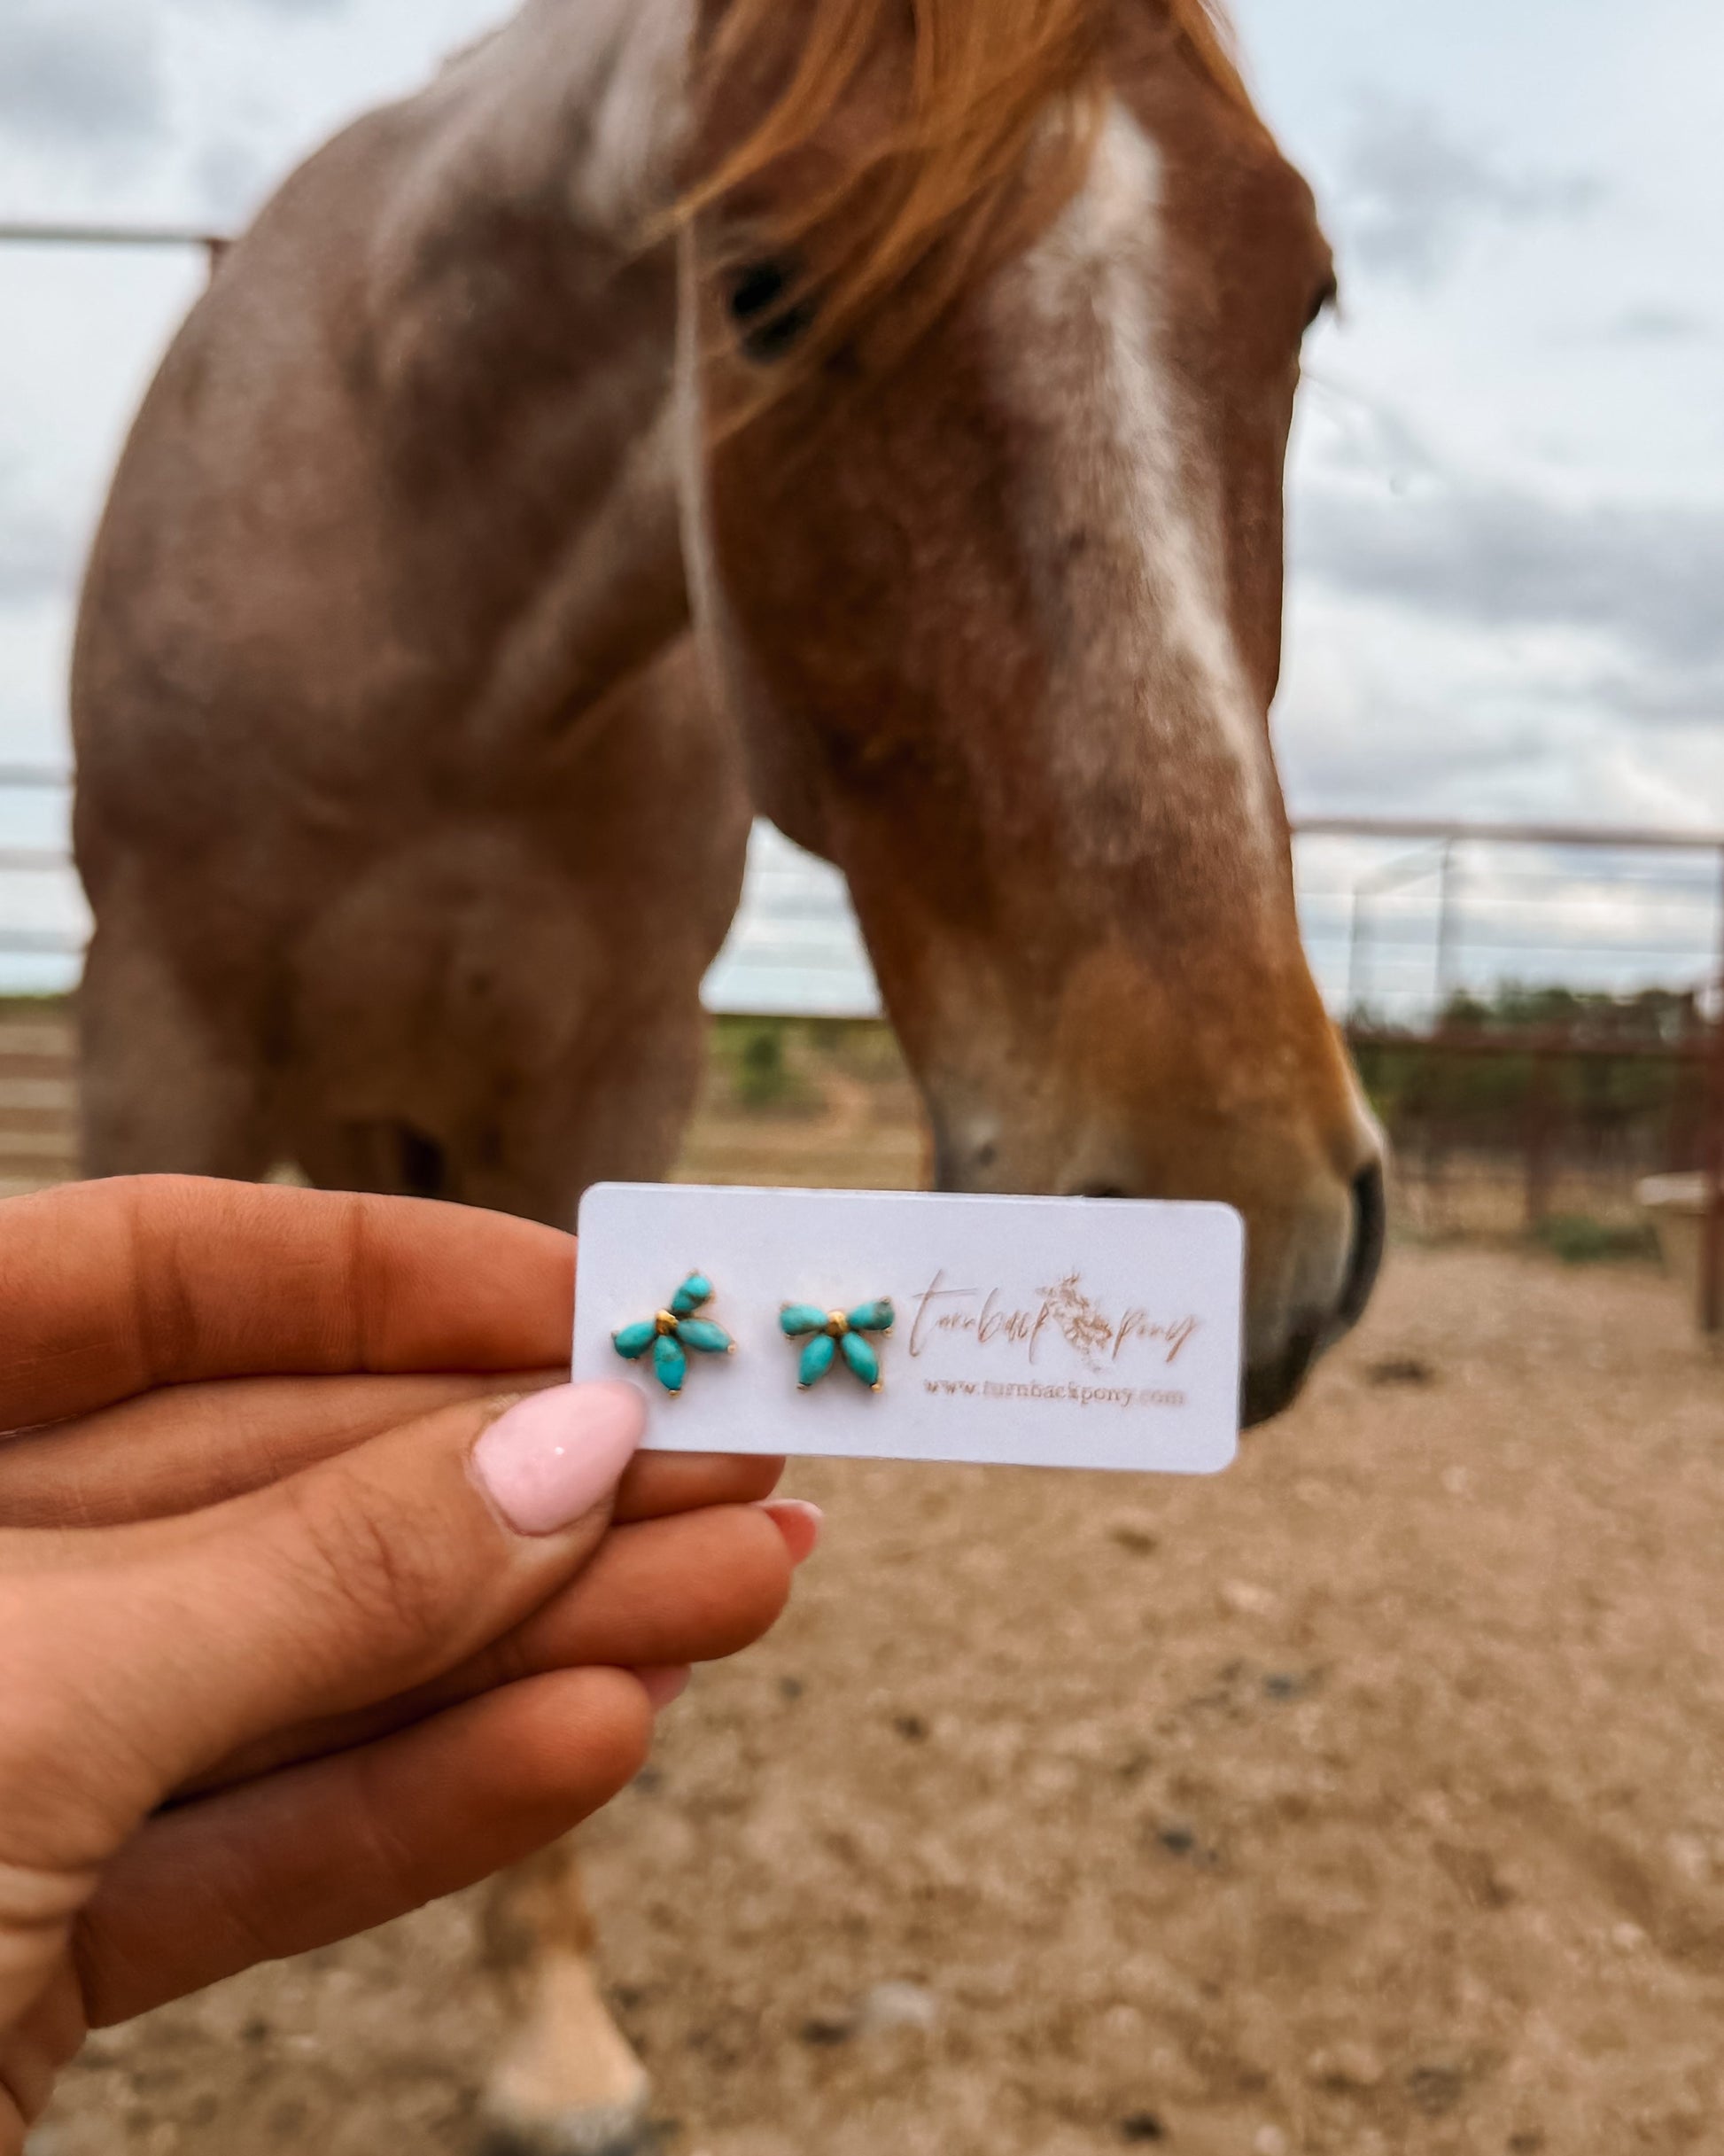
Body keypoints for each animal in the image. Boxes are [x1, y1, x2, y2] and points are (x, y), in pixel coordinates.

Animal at [72, 0, 1385, 2144]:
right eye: (761, 288)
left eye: (1303, 292)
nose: (1245, 1210)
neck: (437, 640)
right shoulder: (152, 1037)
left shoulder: (606, 1081)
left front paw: (547, 2018)